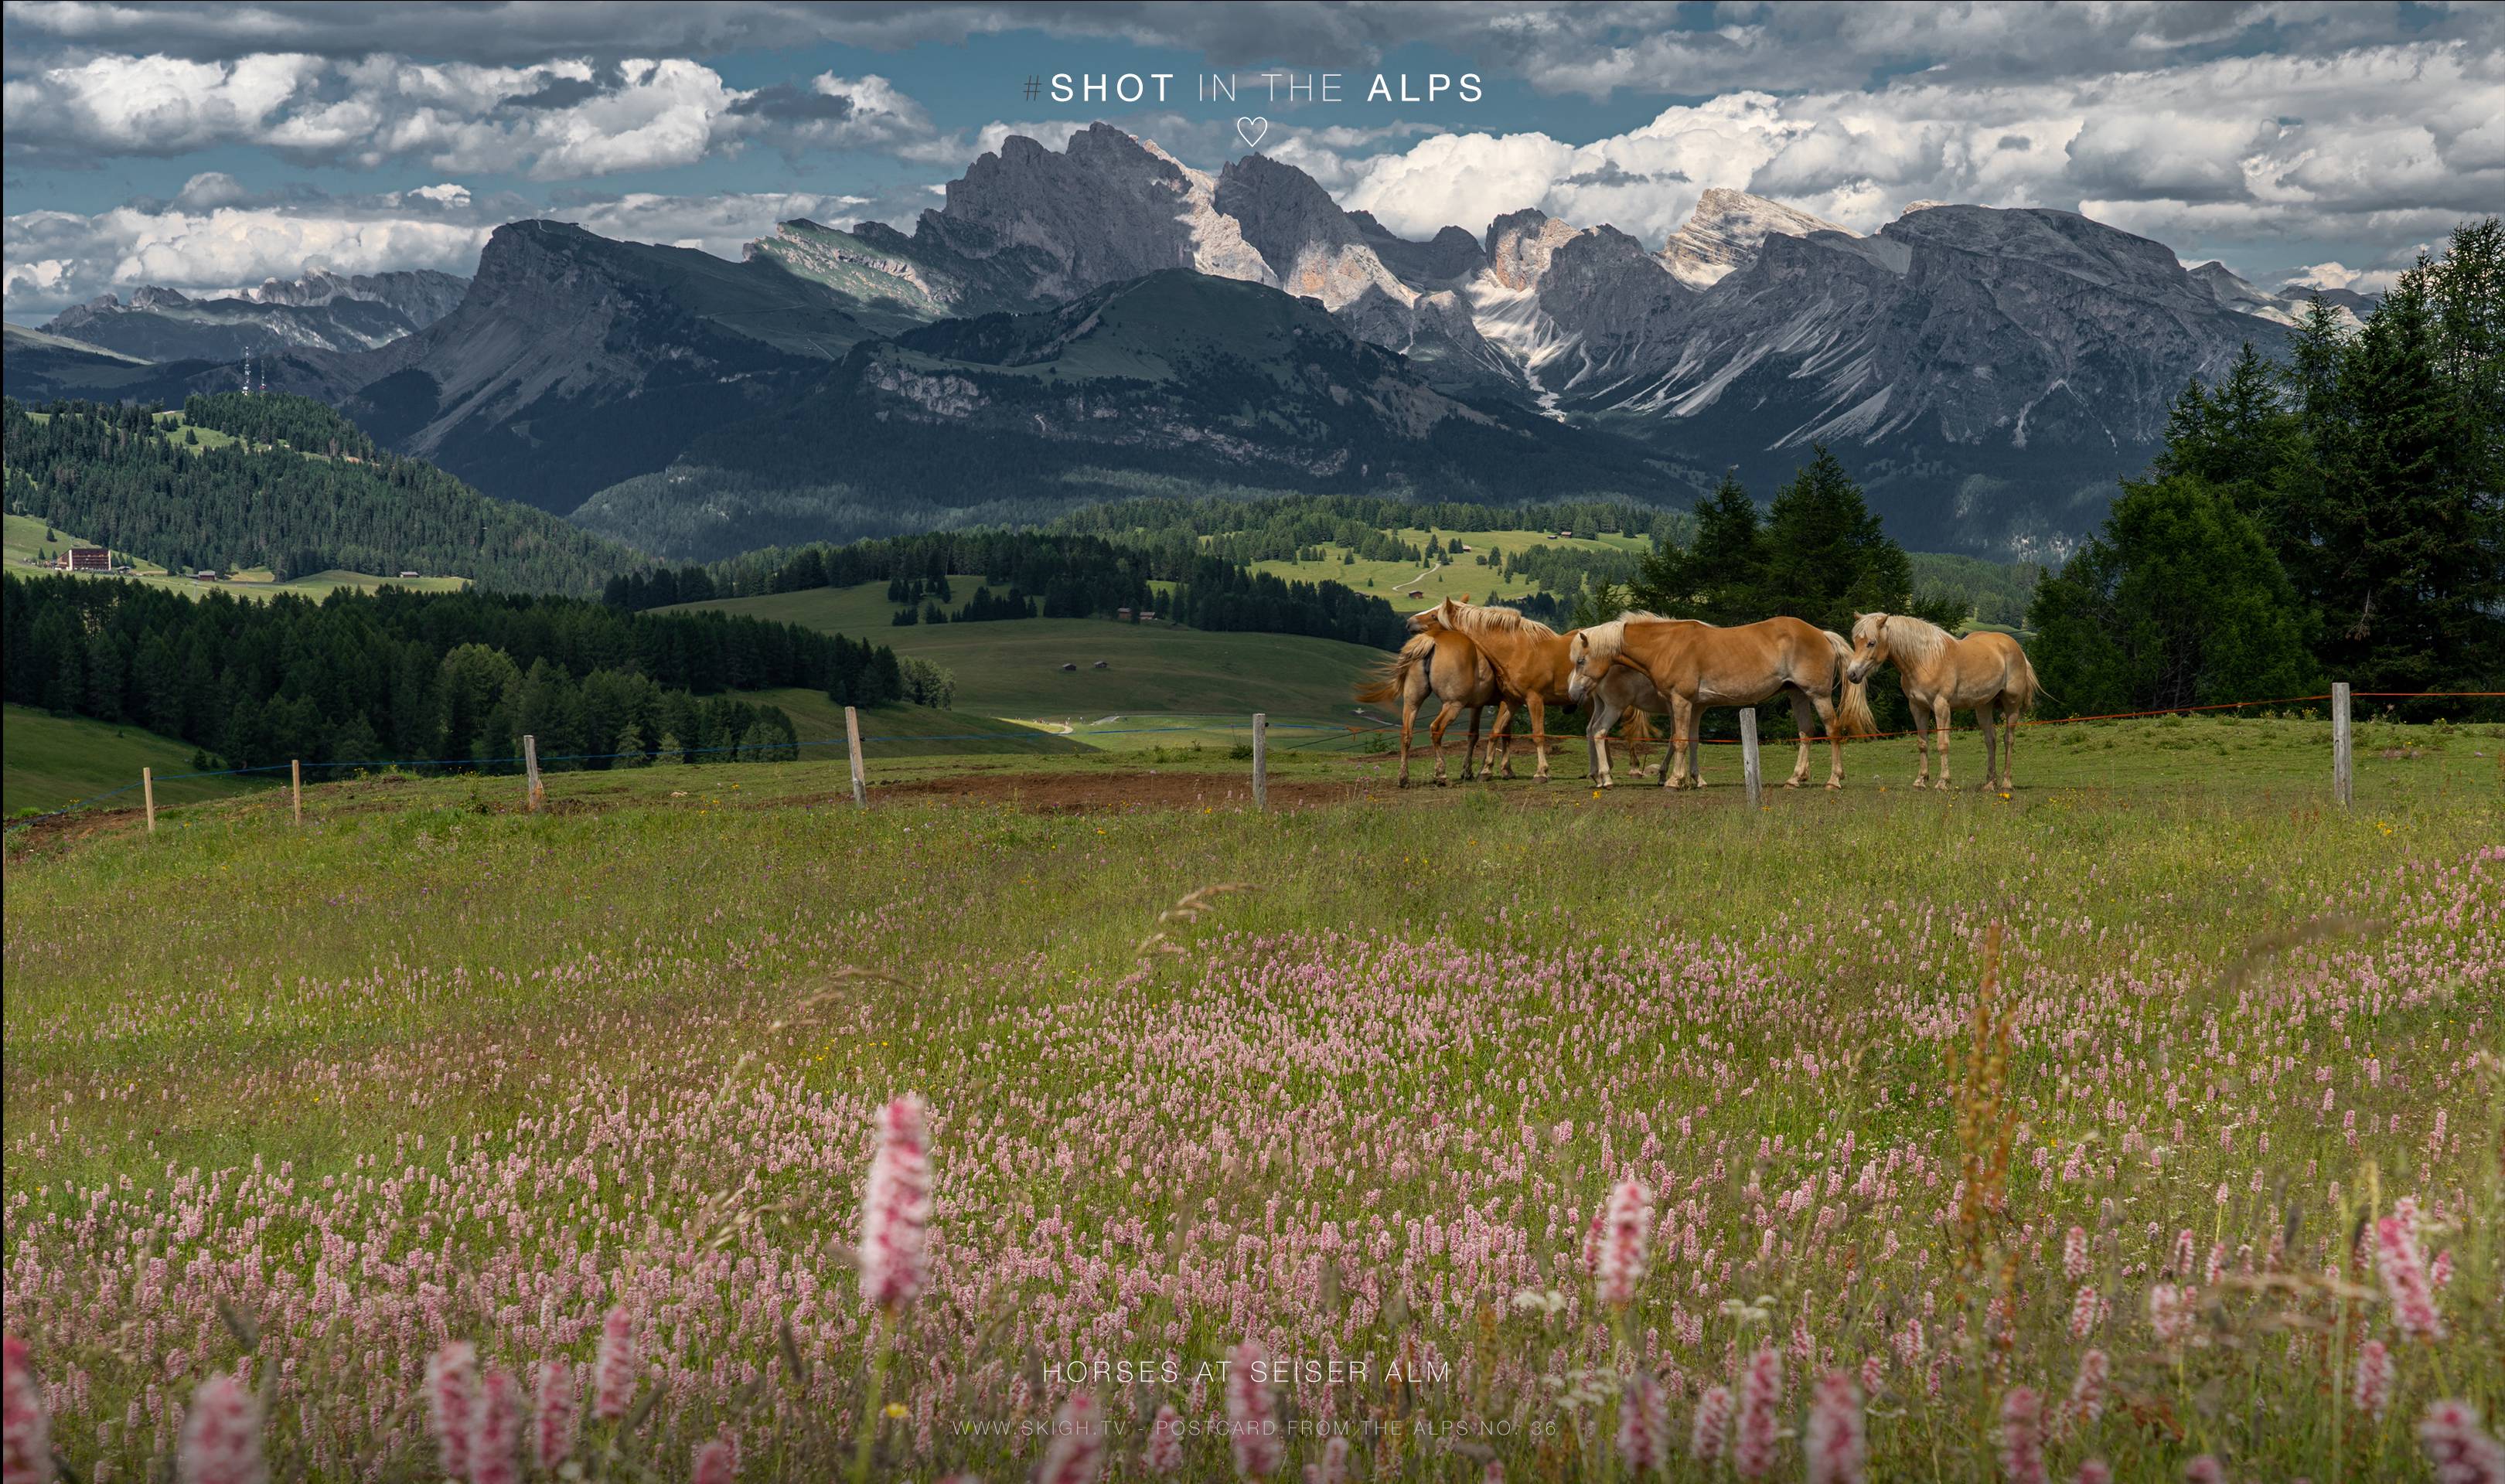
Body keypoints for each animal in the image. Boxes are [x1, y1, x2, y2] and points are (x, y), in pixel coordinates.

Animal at [1353, 627, 1503, 786]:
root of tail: (1432, 638)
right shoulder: (1507, 703)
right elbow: (1499, 733)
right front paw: (1493, 770)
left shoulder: (1477, 705)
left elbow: (1474, 735)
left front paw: (1469, 772)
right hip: (1453, 704)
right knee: (1436, 729)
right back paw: (1441, 775)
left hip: (1412, 702)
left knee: (1406, 733)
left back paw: (1404, 778)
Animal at [1568, 614, 1877, 789]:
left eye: (1581, 660)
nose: (1573, 693)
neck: (1666, 646)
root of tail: (1821, 634)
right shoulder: (1693, 705)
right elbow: (1690, 740)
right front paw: (1691, 780)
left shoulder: (1681, 701)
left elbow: (1679, 741)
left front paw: (1674, 781)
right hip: (1797, 694)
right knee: (1806, 733)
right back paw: (1795, 779)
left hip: (1817, 695)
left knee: (1832, 730)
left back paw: (1834, 780)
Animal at [1844, 612, 2040, 791]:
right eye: (1855, 641)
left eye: (1871, 643)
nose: (1852, 674)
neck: (1925, 660)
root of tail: (2016, 648)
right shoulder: (1917, 707)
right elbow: (1922, 744)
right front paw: (1920, 780)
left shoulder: (1941, 707)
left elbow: (1943, 744)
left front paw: (1943, 782)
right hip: (1984, 706)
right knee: (1990, 740)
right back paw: (1990, 784)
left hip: (2011, 705)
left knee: (2009, 740)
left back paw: (2007, 783)